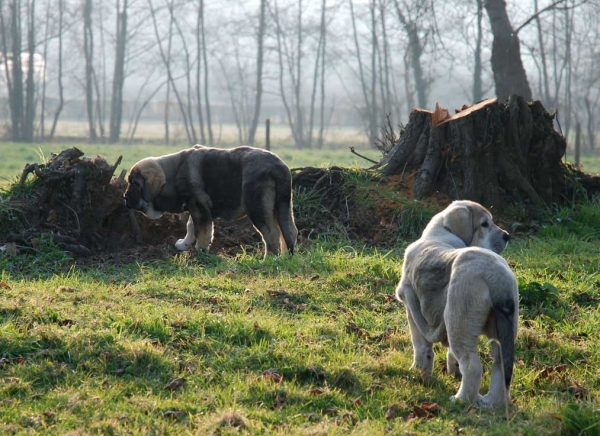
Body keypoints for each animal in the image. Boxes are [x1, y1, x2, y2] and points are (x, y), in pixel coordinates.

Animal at [123, 145, 298, 258]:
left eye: (135, 184)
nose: (125, 197)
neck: (173, 173)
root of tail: (280, 168)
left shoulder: (199, 206)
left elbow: (202, 230)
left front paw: (200, 250)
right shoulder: (197, 206)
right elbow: (191, 226)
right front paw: (185, 244)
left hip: (257, 206)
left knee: (272, 233)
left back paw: (270, 259)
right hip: (282, 206)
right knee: (290, 231)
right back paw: (285, 256)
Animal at [396, 200, 516, 406]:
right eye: (485, 224)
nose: (507, 236)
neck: (440, 234)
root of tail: (497, 278)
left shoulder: (411, 307)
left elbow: (420, 346)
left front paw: (419, 371)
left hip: (459, 318)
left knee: (472, 365)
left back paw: (461, 399)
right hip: (500, 328)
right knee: (500, 366)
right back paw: (491, 402)